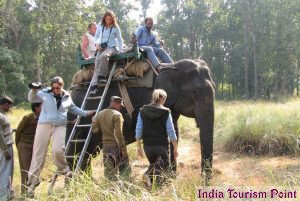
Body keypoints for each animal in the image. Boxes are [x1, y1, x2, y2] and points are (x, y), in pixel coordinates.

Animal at [66, 59, 214, 180]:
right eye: (195, 94)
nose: (204, 181)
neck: (173, 66)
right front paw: (165, 178)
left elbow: (173, 132)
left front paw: (170, 178)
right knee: (76, 152)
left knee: (87, 154)